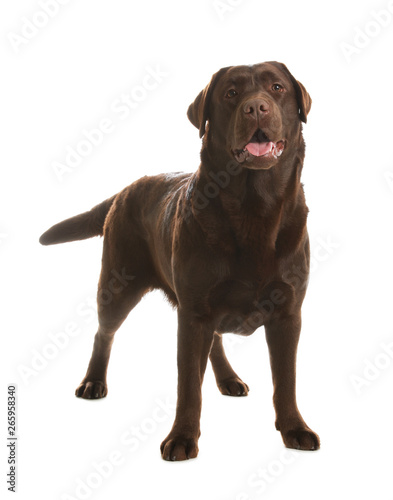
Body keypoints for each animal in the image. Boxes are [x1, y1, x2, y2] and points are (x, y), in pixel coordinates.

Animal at [39, 62, 318, 460]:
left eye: (277, 87)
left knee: (214, 341)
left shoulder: (287, 313)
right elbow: (188, 385)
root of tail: (125, 189)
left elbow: (287, 380)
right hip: (118, 286)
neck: (254, 208)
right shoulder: (193, 314)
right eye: (231, 93)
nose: (256, 108)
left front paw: (295, 428)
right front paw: (182, 437)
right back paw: (93, 381)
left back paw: (228, 378)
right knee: (103, 332)